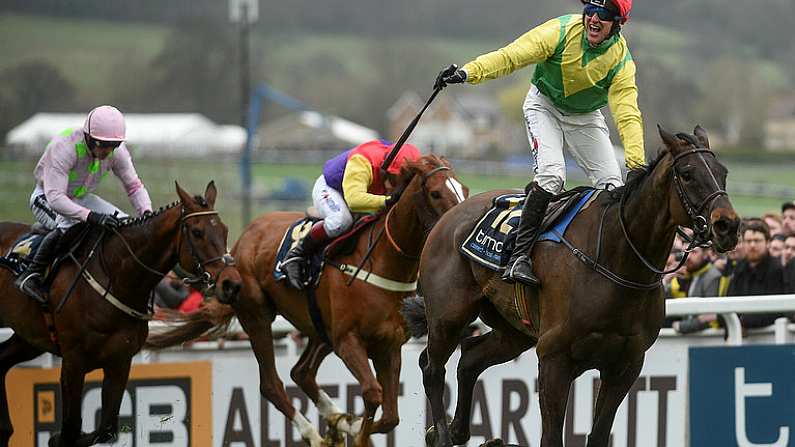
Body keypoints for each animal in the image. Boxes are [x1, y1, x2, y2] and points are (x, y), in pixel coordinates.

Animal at [0, 182, 241, 447]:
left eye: (225, 230)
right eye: (197, 232)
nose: (231, 283)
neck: (116, 278)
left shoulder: (119, 361)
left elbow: (105, 429)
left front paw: (57, 438)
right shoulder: (73, 362)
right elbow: (71, 429)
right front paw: (56, 438)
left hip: (30, 337)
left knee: (1, 360)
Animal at [147, 155, 470, 447]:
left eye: (464, 190)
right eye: (436, 192)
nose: (458, 222)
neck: (382, 262)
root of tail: (239, 244)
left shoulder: (388, 344)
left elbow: (390, 415)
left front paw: (353, 426)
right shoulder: (348, 340)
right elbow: (371, 392)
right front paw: (358, 433)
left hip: (318, 327)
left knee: (301, 373)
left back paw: (338, 419)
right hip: (257, 315)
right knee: (272, 384)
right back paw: (315, 433)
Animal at [408, 126, 744, 447]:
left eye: (724, 172)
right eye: (687, 174)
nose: (727, 225)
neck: (615, 260)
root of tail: (450, 214)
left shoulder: (626, 364)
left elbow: (598, 436)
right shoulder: (554, 358)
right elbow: (551, 438)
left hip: (514, 330)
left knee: (469, 358)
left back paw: (458, 431)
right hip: (448, 316)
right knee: (432, 368)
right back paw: (442, 435)